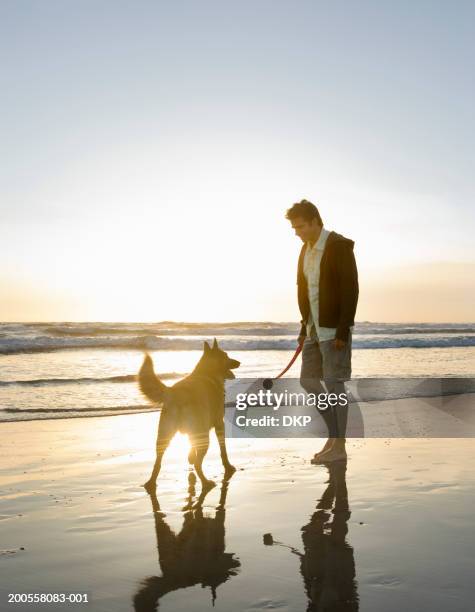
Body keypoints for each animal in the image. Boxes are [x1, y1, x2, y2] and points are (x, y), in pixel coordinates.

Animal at [139, 340, 242, 492]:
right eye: (226, 356)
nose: (239, 362)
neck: (207, 372)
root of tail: (176, 392)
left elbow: (191, 446)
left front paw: (190, 457)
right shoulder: (219, 423)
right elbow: (223, 449)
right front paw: (228, 466)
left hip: (164, 436)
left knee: (158, 461)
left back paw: (151, 482)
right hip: (203, 437)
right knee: (199, 464)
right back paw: (206, 482)